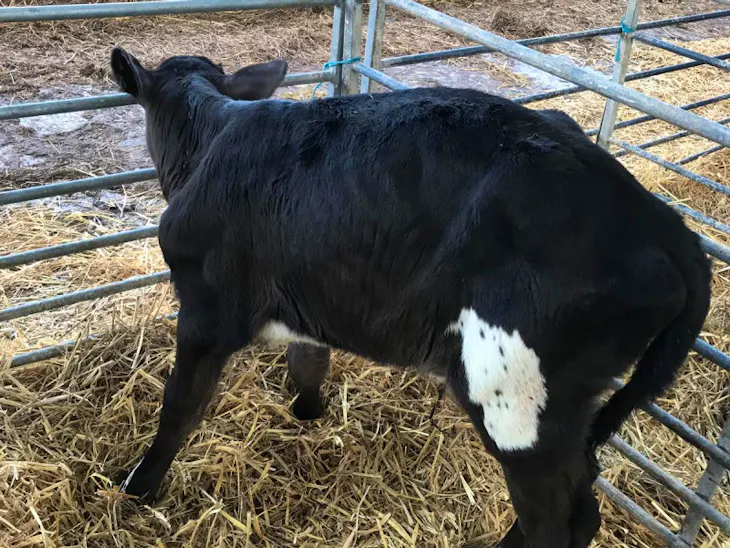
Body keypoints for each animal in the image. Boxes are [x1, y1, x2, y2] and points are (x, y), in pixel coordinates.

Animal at [109, 47, 712, 548]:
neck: (211, 137)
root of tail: (660, 220)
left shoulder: (206, 309)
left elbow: (181, 407)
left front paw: (136, 485)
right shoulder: (310, 292)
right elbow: (309, 361)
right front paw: (308, 413)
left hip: (515, 396)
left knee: (562, 518)